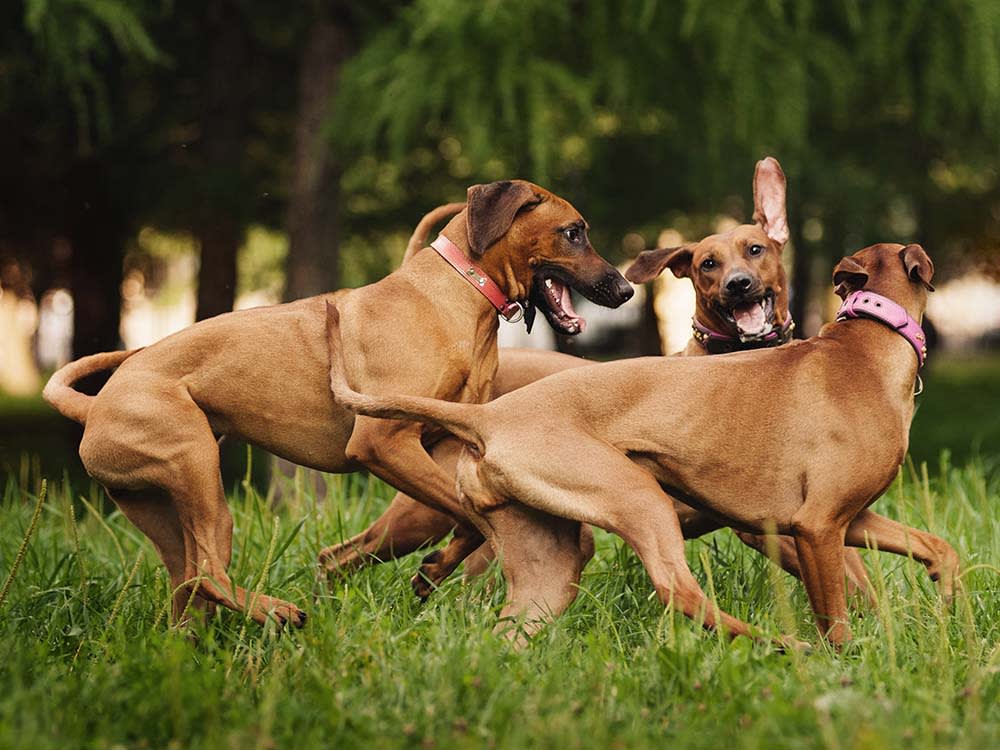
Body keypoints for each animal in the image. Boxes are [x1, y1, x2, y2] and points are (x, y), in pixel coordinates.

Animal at [45, 182, 632, 628]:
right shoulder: (382, 444)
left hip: (161, 505)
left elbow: (467, 518)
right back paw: (281, 612)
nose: (625, 290)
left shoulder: (443, 444)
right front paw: (438, 568)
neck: (461, 292)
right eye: (573, 232)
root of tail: (96, 405)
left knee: (190, 581)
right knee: (209, 570)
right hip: (195, 468)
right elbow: (467, 516)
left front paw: (435, 569)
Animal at [322, 157, 876, 604]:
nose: (739, 285)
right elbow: (846, 573)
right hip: (421, 510)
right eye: (707, 264)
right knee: (359, 550)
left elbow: (856, 567)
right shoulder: (767, 525)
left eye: (756, 249)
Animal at [324, 245, 956, 648]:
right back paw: (778, 644)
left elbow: (936, 546)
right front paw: (841, 662)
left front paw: (947, 602)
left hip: (550, 565)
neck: (867, 344)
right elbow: (839, 616)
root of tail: (486, 415)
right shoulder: (816, 526)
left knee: (505, 627)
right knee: (678, 590)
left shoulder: (852, 519)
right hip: (637, 500)